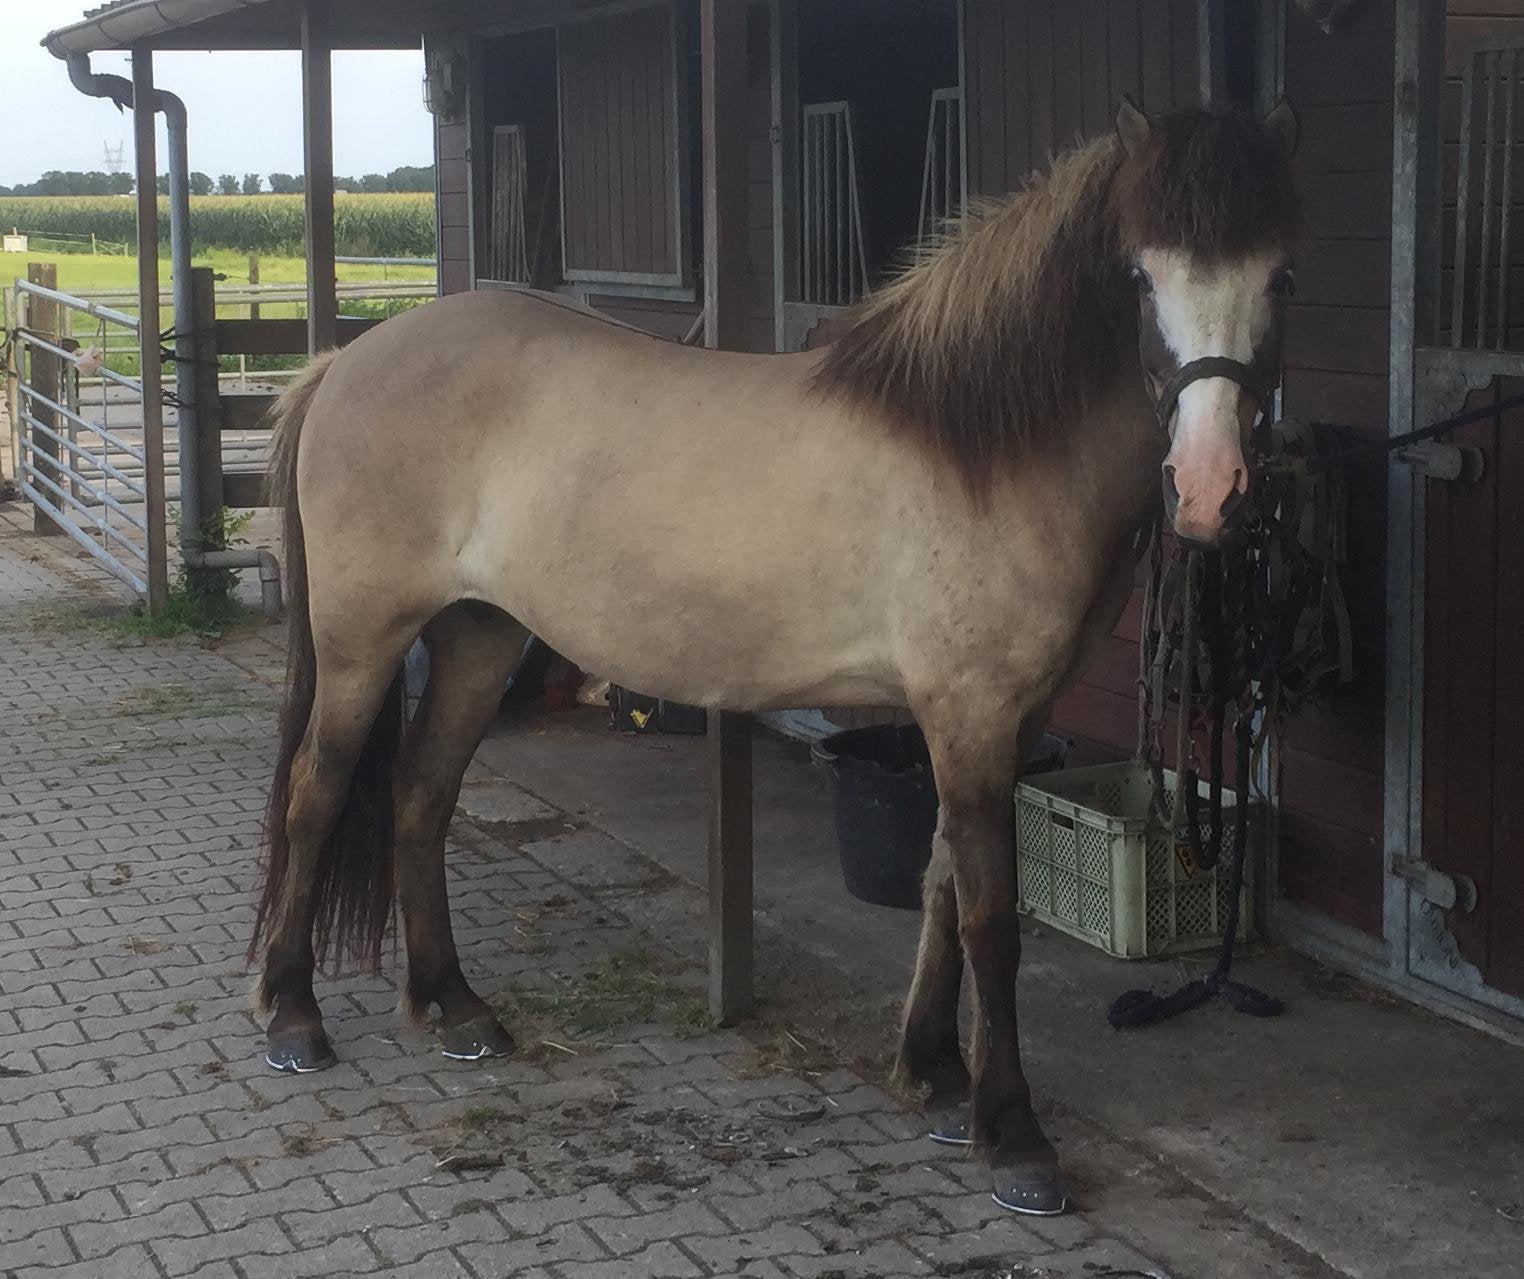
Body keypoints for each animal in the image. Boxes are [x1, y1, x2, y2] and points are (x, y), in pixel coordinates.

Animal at [249, 97, 1299, 1216]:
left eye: (1279, 277)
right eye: (1140, 277)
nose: (1210, 490)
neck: (979, 444)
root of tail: (346, 361)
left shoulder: (998, 718)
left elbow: (938, 879)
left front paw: (934, 1072)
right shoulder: (970, 712)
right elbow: (989, 912)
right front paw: (1012, 1133)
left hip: (478, 636)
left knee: (420, 795)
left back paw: (451, 1004)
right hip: (362, 643)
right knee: (317, 795)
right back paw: (294, 1015)